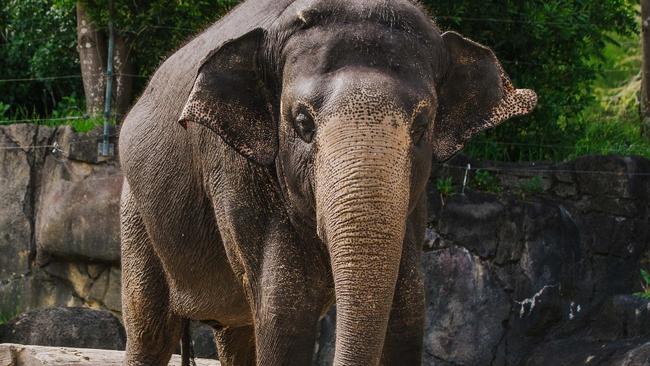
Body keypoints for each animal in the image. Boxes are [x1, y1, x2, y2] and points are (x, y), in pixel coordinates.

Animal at [119, 0, 536, 366]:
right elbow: (285, 315)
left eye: (422, 125)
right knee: (150, 330)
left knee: (237, 333)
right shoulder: (236, 171)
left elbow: (408, 313)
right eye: (302, 123)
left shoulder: (414, 204)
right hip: (135, 212)